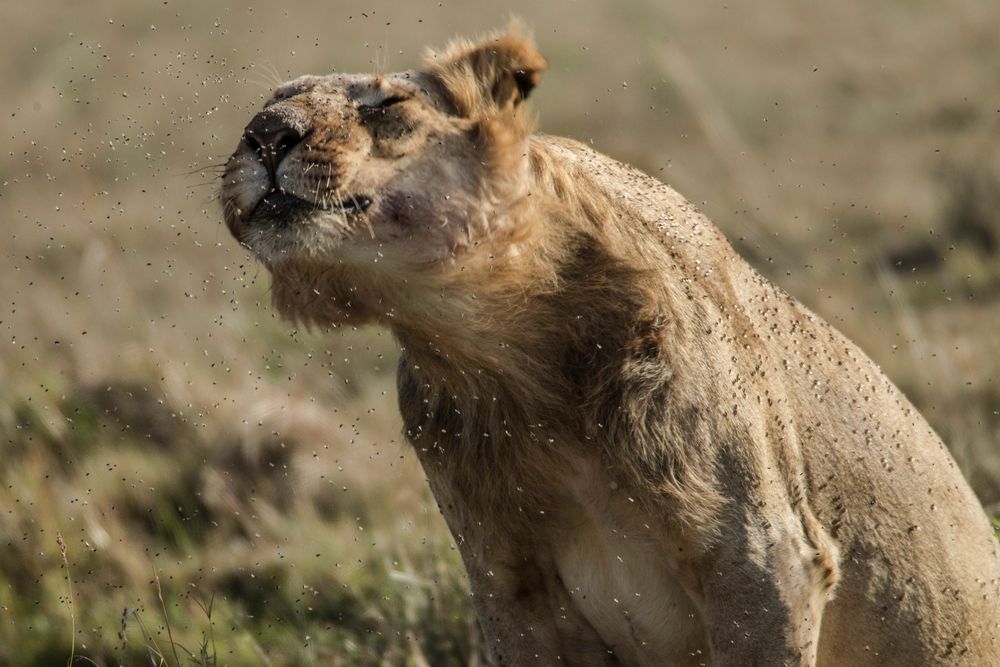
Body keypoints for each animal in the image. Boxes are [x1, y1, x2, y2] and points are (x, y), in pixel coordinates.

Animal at [221, 23, 1000, 664]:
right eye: (269, 105)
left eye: (387, 106)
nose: (266, 135)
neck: (502, 353)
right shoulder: (510, 584)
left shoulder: (766, 558)